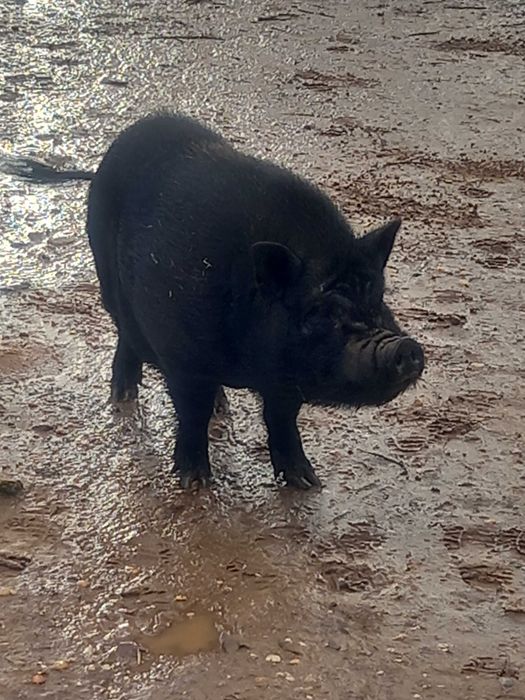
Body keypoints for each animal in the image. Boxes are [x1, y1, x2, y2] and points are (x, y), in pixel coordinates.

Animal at [2, 113, 424, 489]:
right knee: (125, 333)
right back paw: (123, 395)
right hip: (107, 279)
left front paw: (308, 482)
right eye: (321, 312)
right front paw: (194, 482)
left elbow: (282, 419)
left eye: (378, 299)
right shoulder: (183, 357)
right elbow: (193, 412)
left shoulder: (282, 381)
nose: (406, 346)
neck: (250, 363)